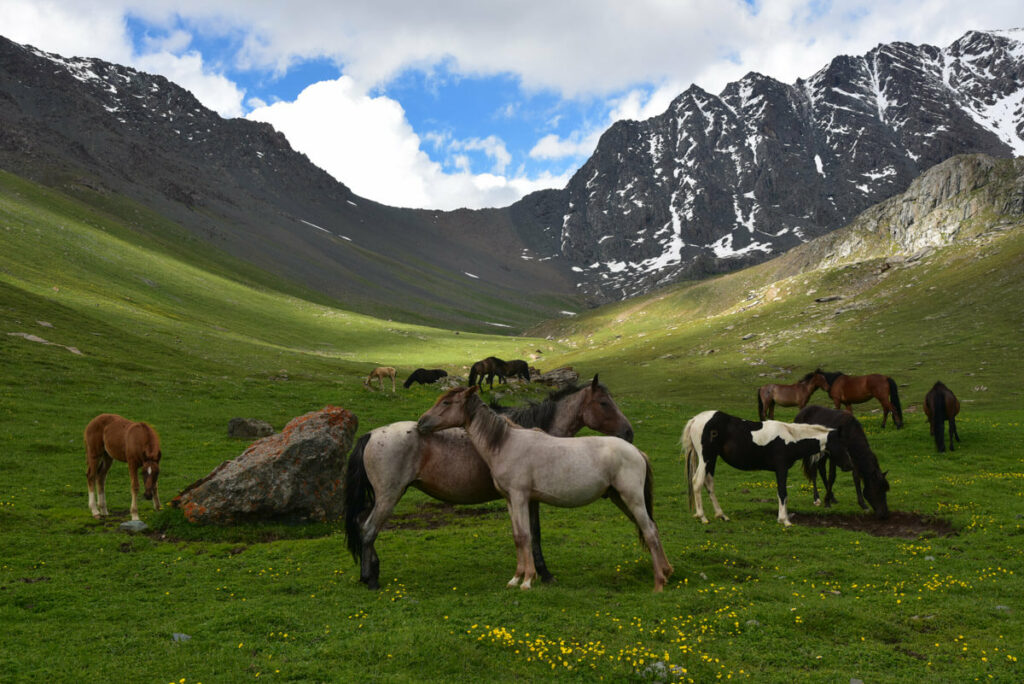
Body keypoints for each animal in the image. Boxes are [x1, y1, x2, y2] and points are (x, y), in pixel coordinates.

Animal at [344, 374, 630, 589]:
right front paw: (544, 574)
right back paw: (371, 579)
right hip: (389, 496)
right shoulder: (529, 498)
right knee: (369, 530)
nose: (628, 432)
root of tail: (371, 434)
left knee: (361, 524)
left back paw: (368, 573)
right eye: (604, 403)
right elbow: (534, 533)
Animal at [415, 387, 671, 589]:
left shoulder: (521, 497)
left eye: (446, 402)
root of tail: (636, 451)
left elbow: (526, 535)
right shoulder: (511, 499)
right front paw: (516, 578)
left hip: (632, 498)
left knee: (649, 530)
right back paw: (667, 571)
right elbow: (518, 536)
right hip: (621, 498)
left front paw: (528, 580)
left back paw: (659, 582)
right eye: (603, 402)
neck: (506, 444)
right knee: (652, 528)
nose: (420, 423)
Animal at [679, 409, 839, 528]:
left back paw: (722, 515)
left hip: (711, 459)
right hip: (706, 458)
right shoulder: (781, 468)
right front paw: (785, 521)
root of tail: (696, 420)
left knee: (709, 483)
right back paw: (703, 517)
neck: (790, 437)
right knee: (697, 482)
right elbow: (782, 493)